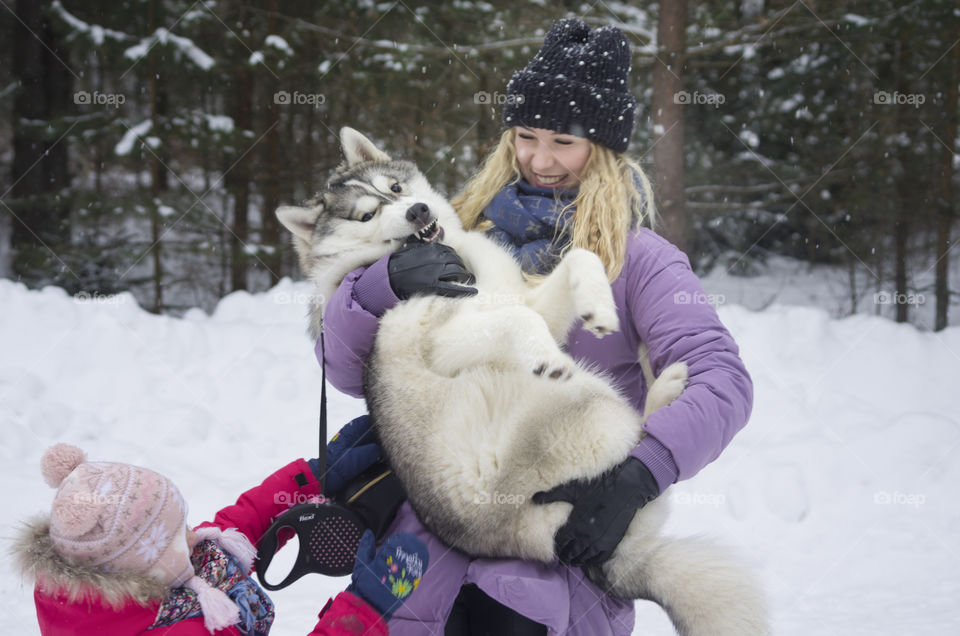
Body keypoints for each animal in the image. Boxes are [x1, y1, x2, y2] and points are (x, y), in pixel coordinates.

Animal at [276, 128, 764, 636]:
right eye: (367, 215)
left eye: (394, 187)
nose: (417, 212)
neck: (455, 259)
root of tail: (615, 562)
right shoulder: (443, 341)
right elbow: (517, 318)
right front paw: (548, 356)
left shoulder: (532, 299)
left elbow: (577, 261)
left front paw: (599, 307)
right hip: (586, 406)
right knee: (639, 440)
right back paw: (662, 387)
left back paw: (663, 377)